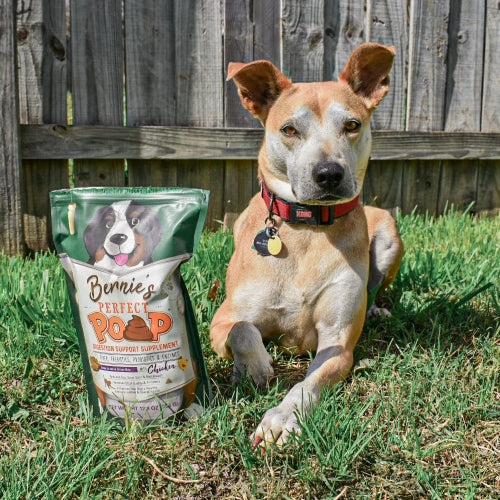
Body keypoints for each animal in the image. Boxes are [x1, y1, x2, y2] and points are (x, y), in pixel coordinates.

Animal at [210, 43, 402, 448]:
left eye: (352, 125)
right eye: (289, 129)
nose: (329, 173)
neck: (307, 228)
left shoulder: (337, 345)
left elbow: (306, 384)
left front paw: (281, 418)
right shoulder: (220, 320)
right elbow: (243, 329)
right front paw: (256, 365)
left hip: (390, 234)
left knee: (375, 287)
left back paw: (377, 308)